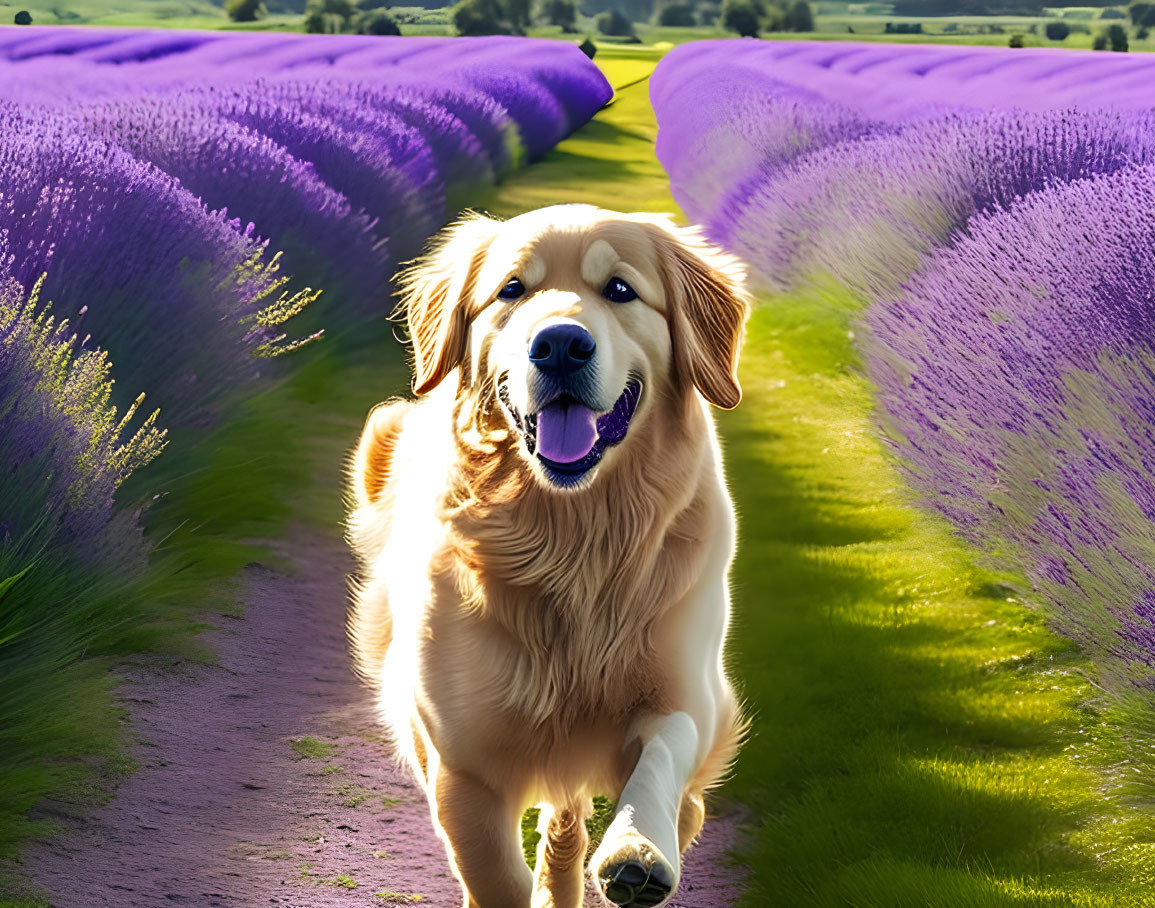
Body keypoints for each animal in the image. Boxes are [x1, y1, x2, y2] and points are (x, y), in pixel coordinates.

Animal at [346, 205, 748, 905]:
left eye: (620, 289)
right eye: (512, 290)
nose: (560, 344)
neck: (571, 541)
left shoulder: (683, 695)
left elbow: (662, 754)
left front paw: (637, 850)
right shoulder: (464, 766)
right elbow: (495, 878)